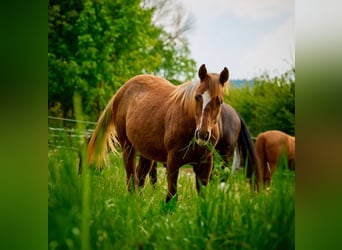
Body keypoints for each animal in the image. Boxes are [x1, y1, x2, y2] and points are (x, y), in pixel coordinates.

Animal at [87, 64, 228, 203]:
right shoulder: (172, 161)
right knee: (131, 179)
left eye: (220, 101)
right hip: (128, 147)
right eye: (197, 97)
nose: (202, 135)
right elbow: (171, 197)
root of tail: (121, 91)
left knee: (140, 177)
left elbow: (202, 198)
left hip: (146, 153)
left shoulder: (205, 164)